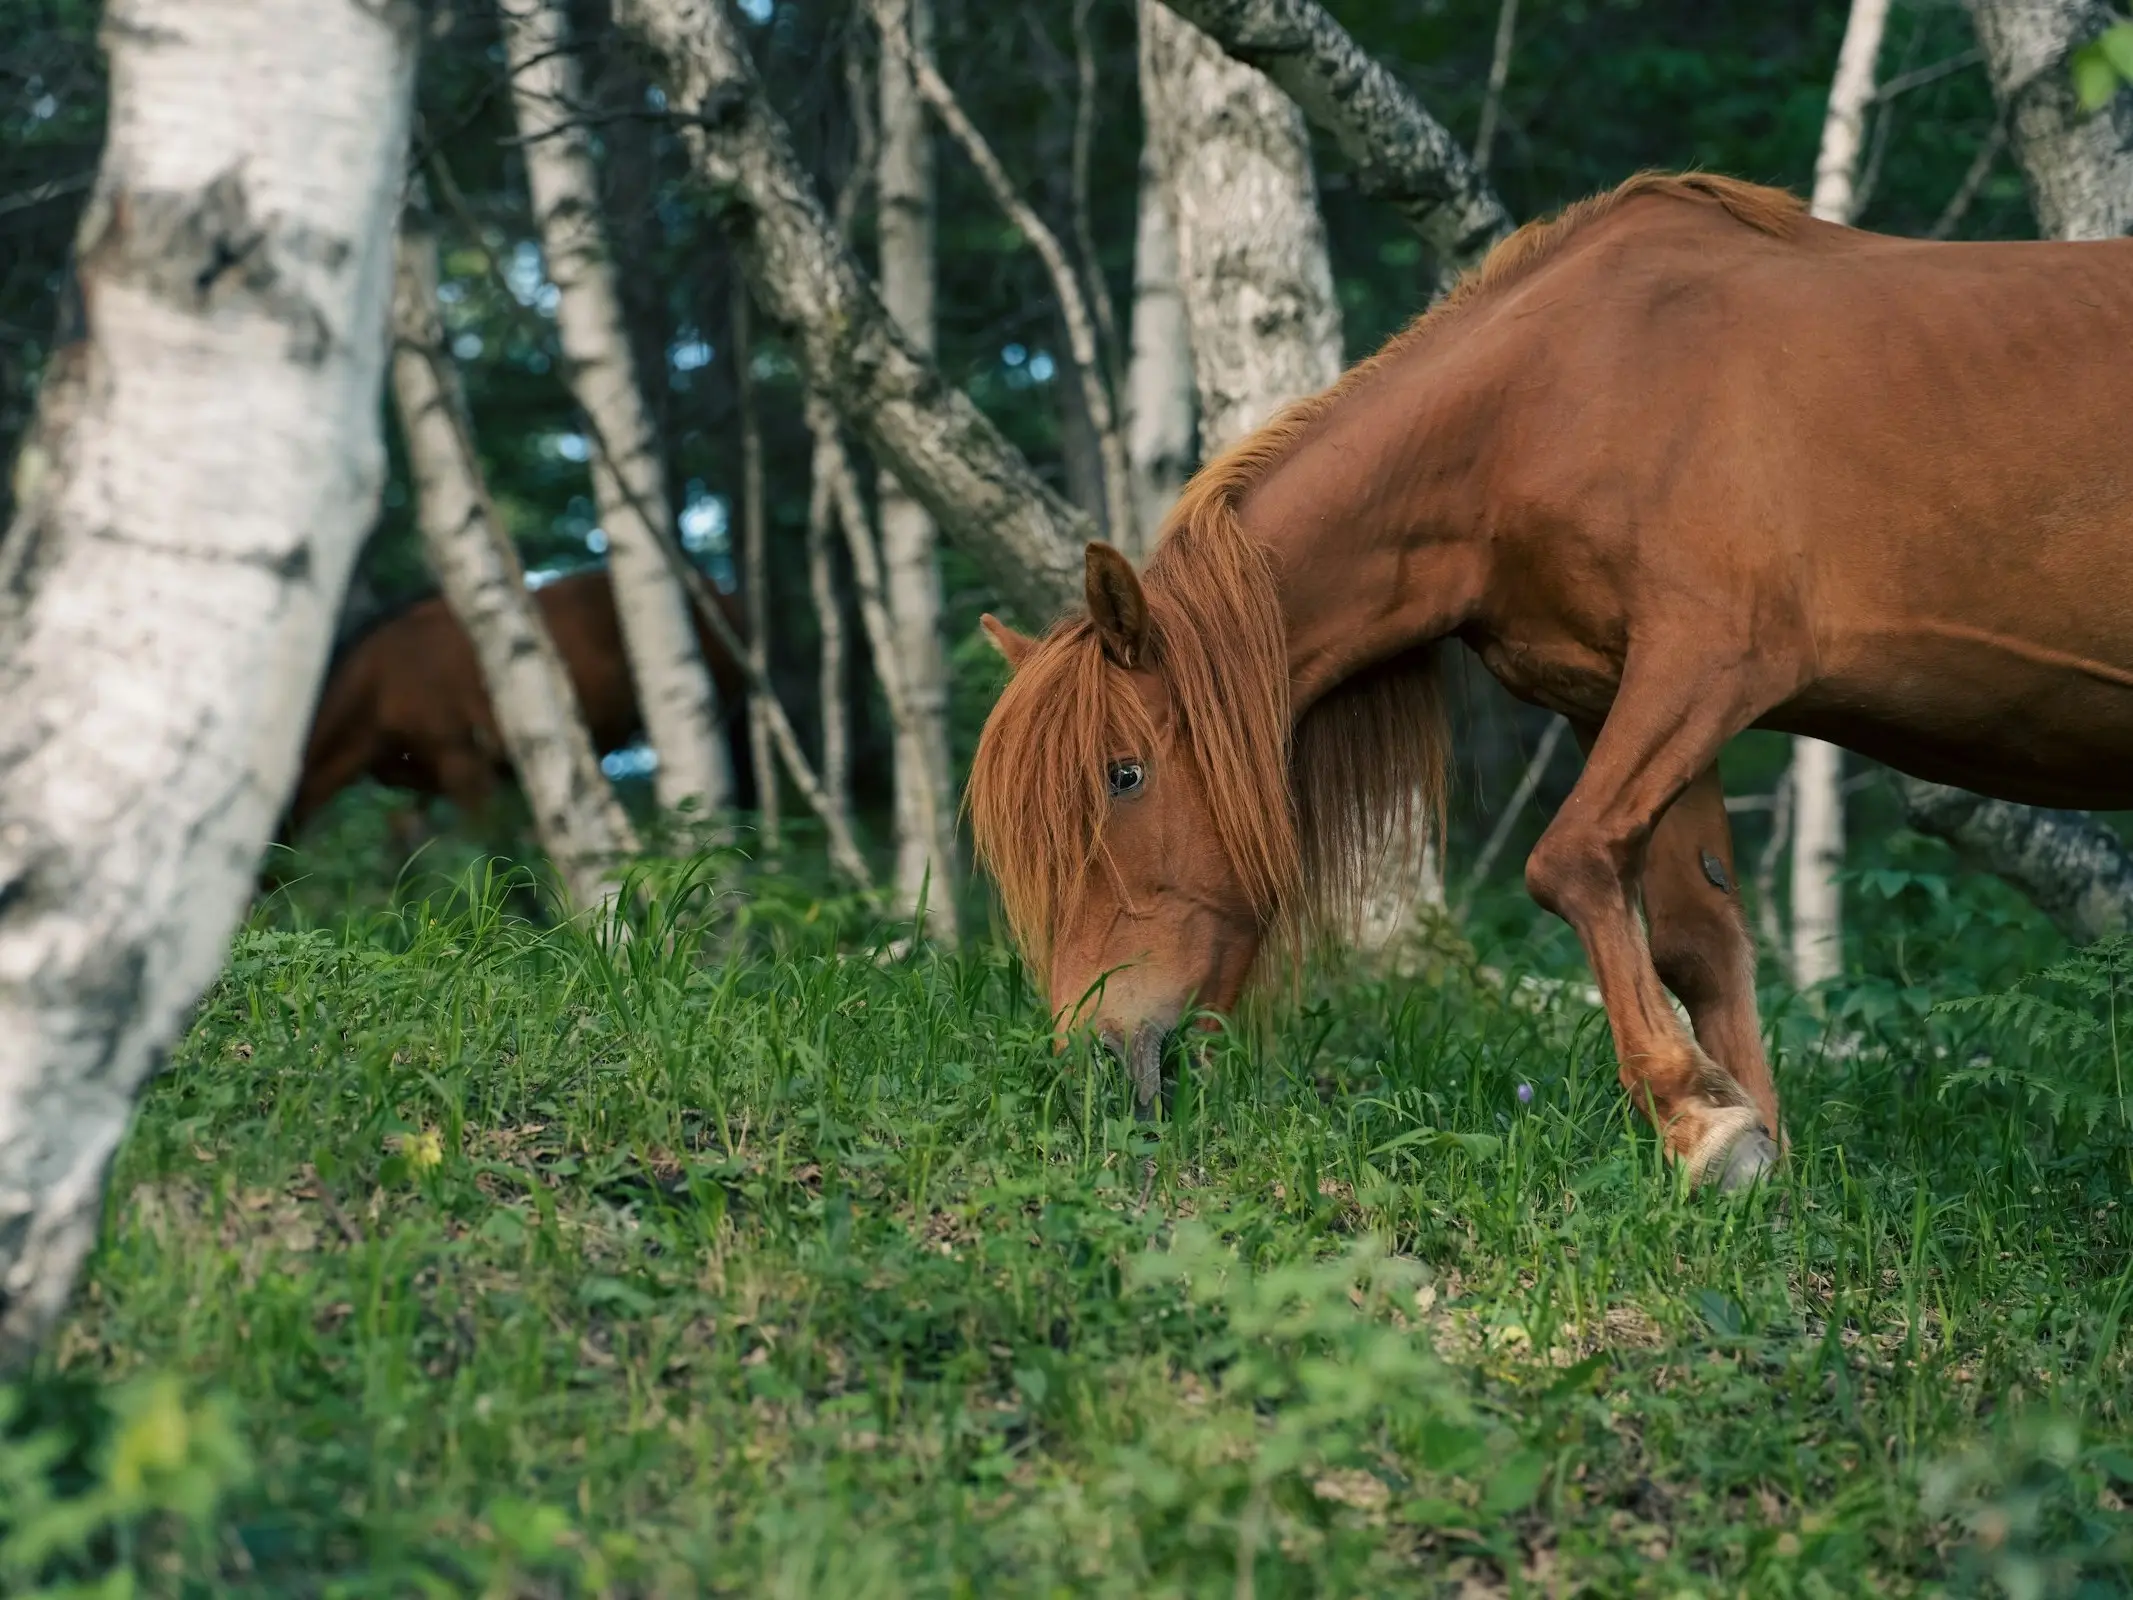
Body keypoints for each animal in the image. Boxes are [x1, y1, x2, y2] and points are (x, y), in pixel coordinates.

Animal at [976, 172, 2133, 1194]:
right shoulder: (1617, 696)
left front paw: (1699, 1122)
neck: (1562, 397)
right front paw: (1757, 1149)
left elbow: (1569, 858)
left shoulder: (1709, 660)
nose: (1092, 1061)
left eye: (1124, 775)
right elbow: (1695, 936)